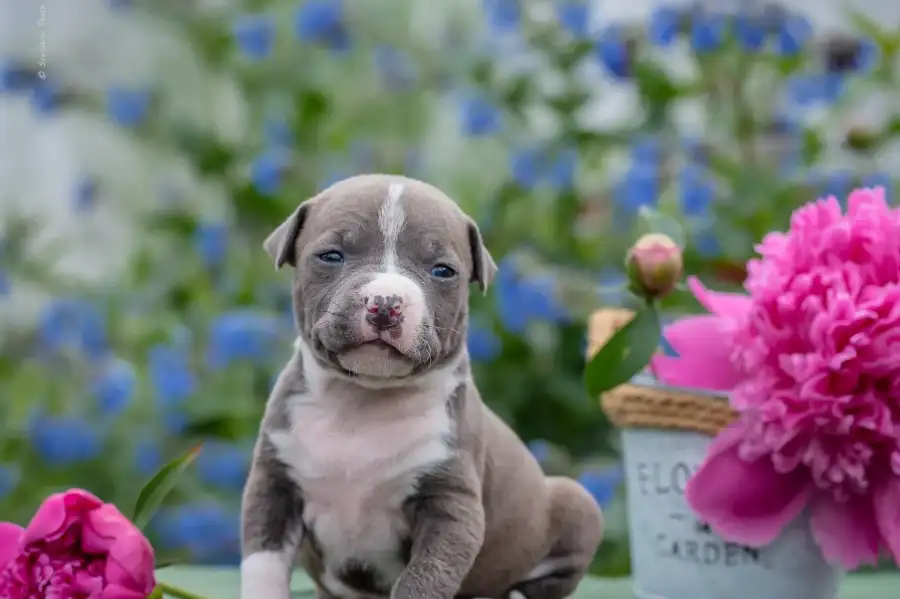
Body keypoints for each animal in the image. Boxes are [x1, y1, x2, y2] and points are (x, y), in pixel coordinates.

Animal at [243, 173, 600, 599]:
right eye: (331, 256)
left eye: (443, 270)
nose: (385, 303)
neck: (362, 402)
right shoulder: (273, 485)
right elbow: (262, 567)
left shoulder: (450, 506)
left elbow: (424, 579)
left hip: (575, 505)